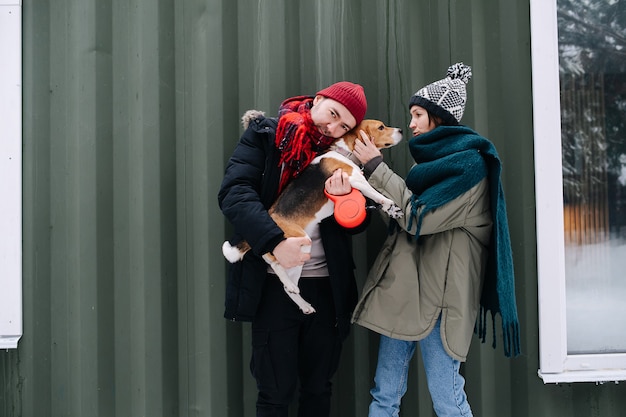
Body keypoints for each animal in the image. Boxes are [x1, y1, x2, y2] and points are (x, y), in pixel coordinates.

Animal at [222, 114, 402, 312]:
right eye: (381, 127)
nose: (401, 130)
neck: (344, 152)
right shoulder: (354, 179)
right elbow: (375, 193)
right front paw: (390, 204)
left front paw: (390, 209)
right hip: (296, 243)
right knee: (274, 263)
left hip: (299, 253)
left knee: (285, 284)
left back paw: (303, 303)